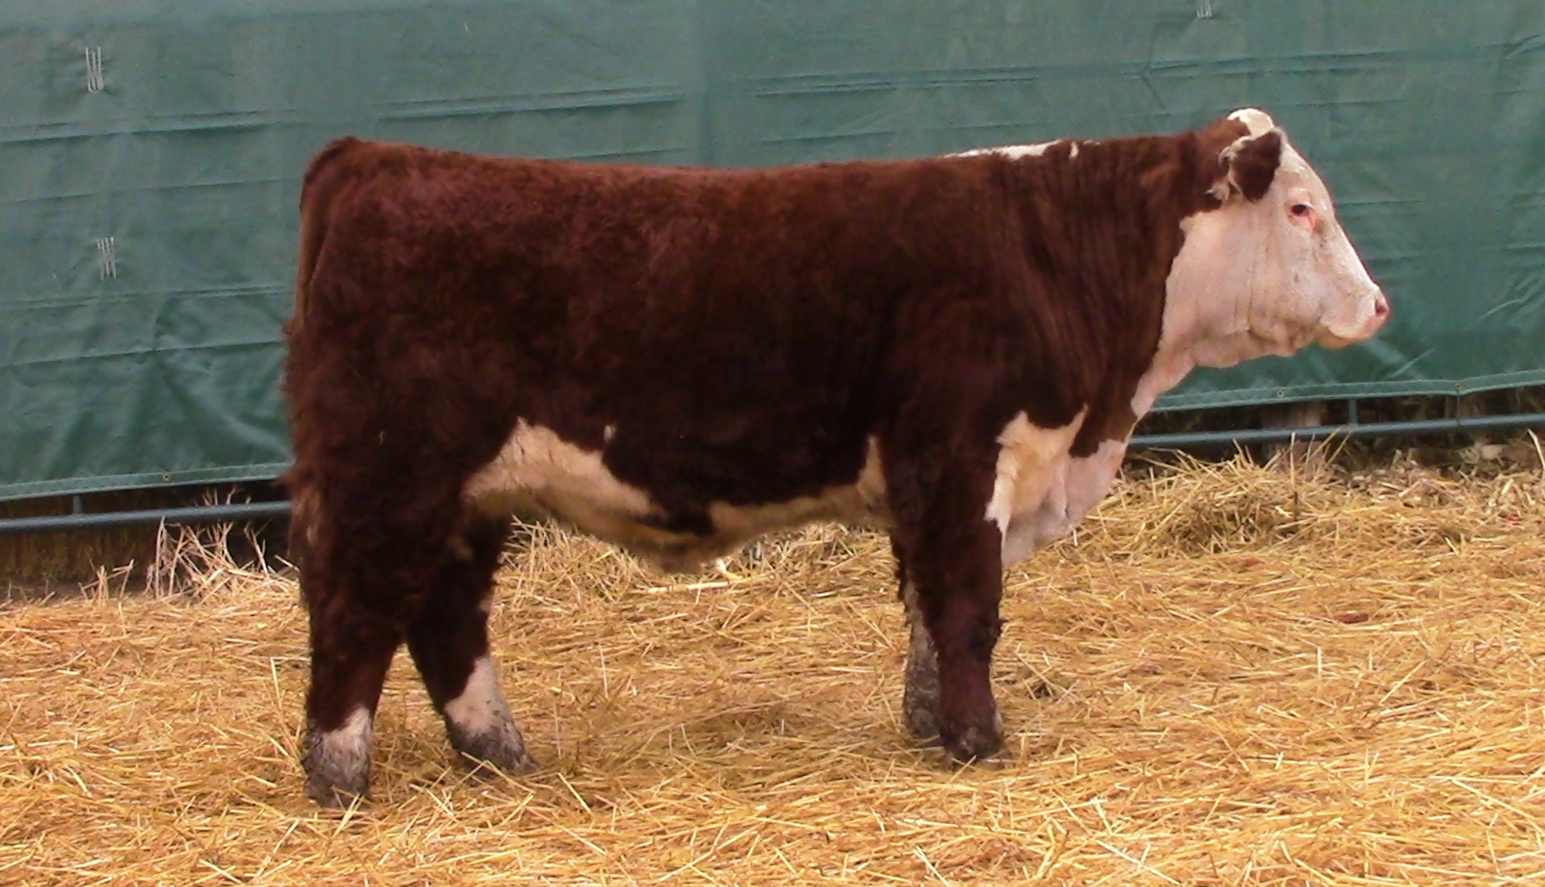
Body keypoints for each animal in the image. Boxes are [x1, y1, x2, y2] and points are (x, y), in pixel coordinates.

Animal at [283, 108, 1389, 805]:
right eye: (1301, 209)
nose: (1378, 305)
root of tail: (370, 158)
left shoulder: (939, 483)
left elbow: (928, 611)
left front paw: (929, 725)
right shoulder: (959, 457)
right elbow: (968, 608)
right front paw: (980, 741)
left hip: (464, 497)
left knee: (444, 618)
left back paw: (501, 756)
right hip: (389, 476)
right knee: (355, 614)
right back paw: (340, 779)